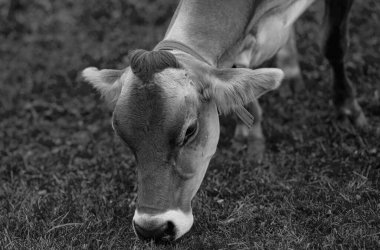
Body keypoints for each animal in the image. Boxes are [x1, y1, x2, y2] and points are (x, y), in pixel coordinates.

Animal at [81, 0, 366, 242]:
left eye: (190, 131)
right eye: (123, 137)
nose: (152, 229)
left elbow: (333, 43)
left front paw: (347, 109)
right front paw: (250, 136)